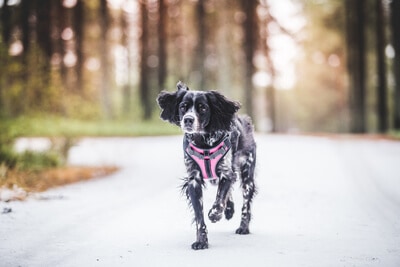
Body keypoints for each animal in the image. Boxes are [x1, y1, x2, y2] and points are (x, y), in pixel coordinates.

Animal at [156, 81, 256, 251]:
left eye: (203, 107)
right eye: (183, 106)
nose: (188, 119)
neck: (203, 142)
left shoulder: (226, 173)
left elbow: (220, 199)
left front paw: (214, 215)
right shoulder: (194, 180)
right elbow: (199, 216)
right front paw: (201, 241)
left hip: (247, 175)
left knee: (245, 204)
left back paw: (243, 227)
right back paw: (229, 211)